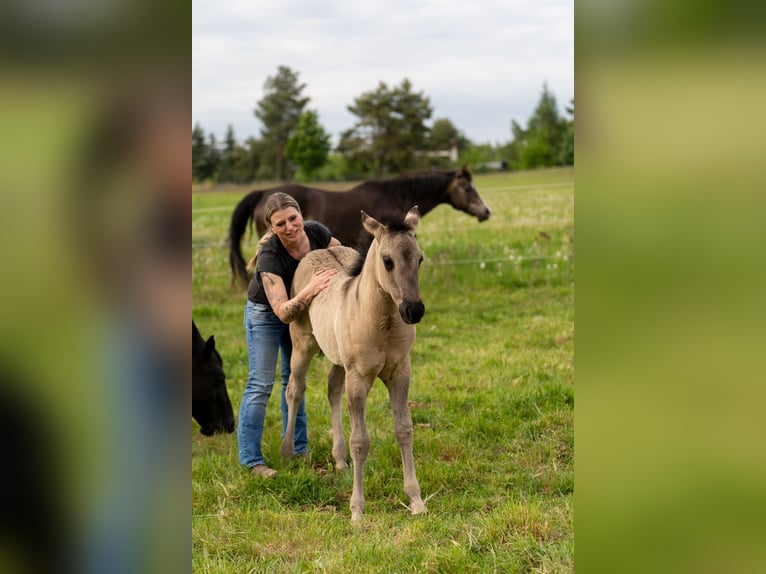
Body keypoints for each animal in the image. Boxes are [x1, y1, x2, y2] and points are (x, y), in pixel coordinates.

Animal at [280, 207, 426, 521]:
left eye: (419, 258)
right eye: (387, 261)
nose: (414, 310)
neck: (381, 321)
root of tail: (315, 252)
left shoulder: (400, 372)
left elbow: (404, 430)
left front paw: (416, 500)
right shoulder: (358, 378)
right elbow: (360, 441)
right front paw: (357, 511)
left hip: (339, 359)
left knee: (332, 389)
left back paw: (339, 459)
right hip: (303, 345)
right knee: (295, 389)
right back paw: (286, 452)